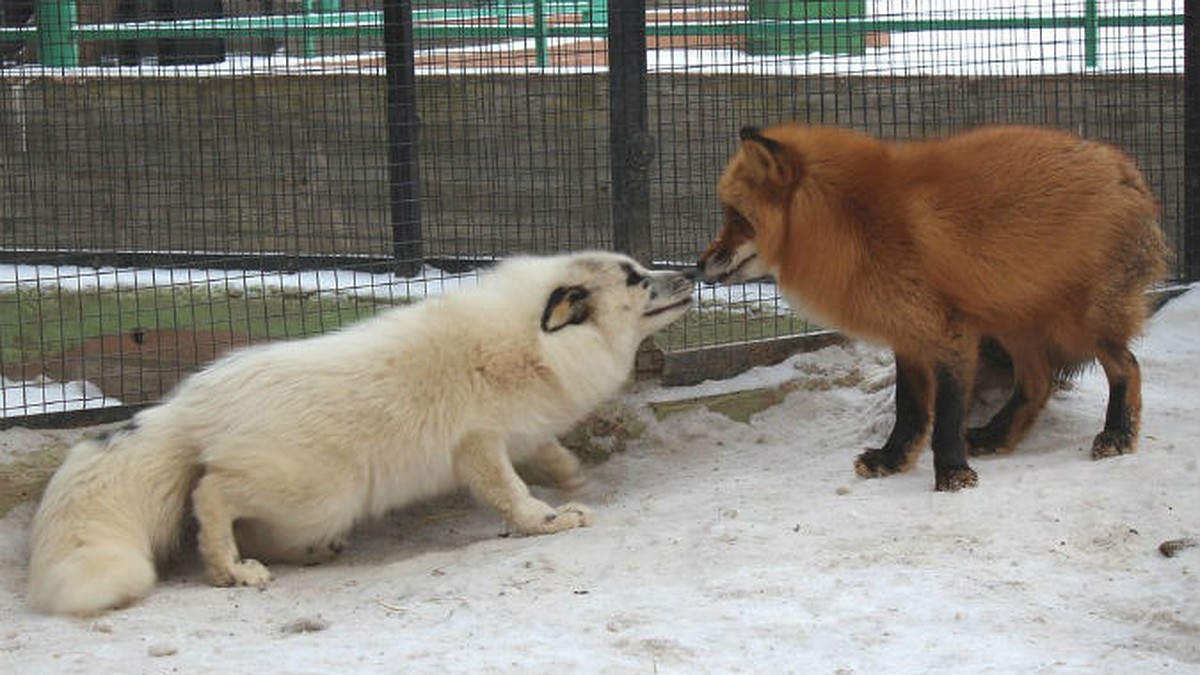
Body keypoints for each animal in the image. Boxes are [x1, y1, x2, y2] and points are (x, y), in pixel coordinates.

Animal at [700, 123, 1166, 487]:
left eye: (737, 218)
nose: (697, 266)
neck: (858, 222)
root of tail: (1125, 167)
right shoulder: (907, 333)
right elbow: (908, 410)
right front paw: (892, 461)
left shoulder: (948, 332)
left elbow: (947, 415)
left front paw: (953, 474)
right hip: (1012, 320)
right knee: (1038, 383)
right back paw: (996, 436)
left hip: (1077, 321)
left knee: (1128, 367)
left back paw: (1118, 435)